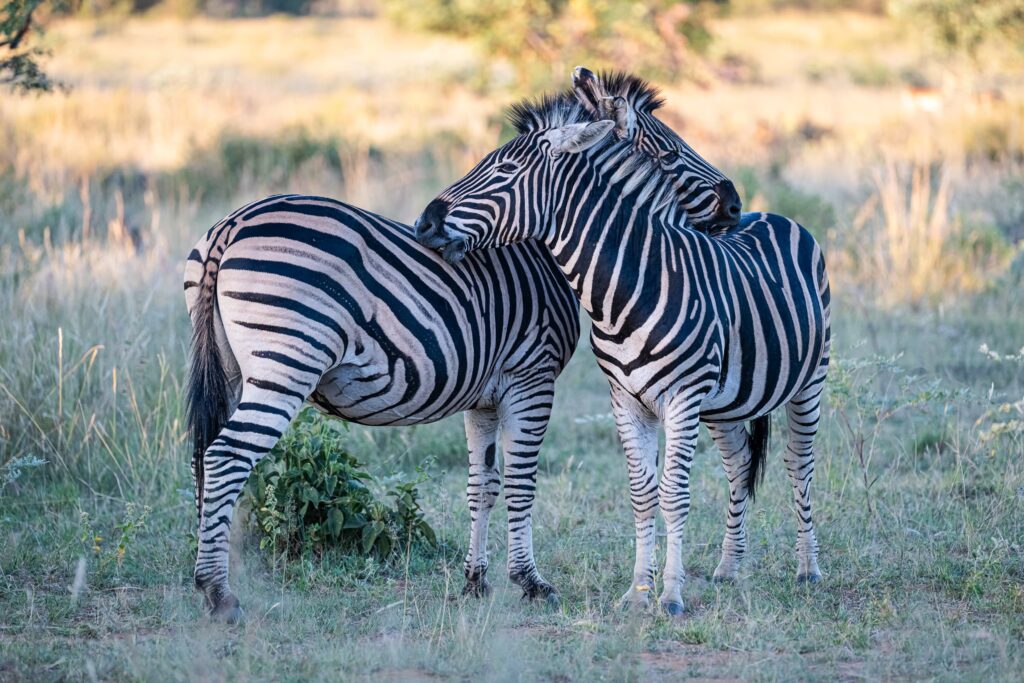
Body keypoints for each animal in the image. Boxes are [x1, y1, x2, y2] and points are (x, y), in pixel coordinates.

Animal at [182, 108, 745, 626]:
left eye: (502, 170)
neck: (542, 251)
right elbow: (520, 481)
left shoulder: (484, 396)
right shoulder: (530, 378)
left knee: (203, 458)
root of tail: (232, 224)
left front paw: (477, 581)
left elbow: (483, 486)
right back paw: (219, 593)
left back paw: (205, 576)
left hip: (232, 369)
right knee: (227, 456)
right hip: (285, 364)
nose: (737, 204)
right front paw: (531, 582)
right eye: (669, 154)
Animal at [415, 82, 831, 618]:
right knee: (739, 463)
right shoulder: (626, 400)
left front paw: (670, 596)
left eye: (503, 172)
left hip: (810, 381)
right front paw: (637, 592)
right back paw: (728, 568)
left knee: (799, 464)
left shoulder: (682, 398)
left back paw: (808, 569)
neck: (630, 286)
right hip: (726, 402)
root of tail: (771, 213)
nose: (424, 223)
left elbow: (674, 494)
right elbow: (641, 493)